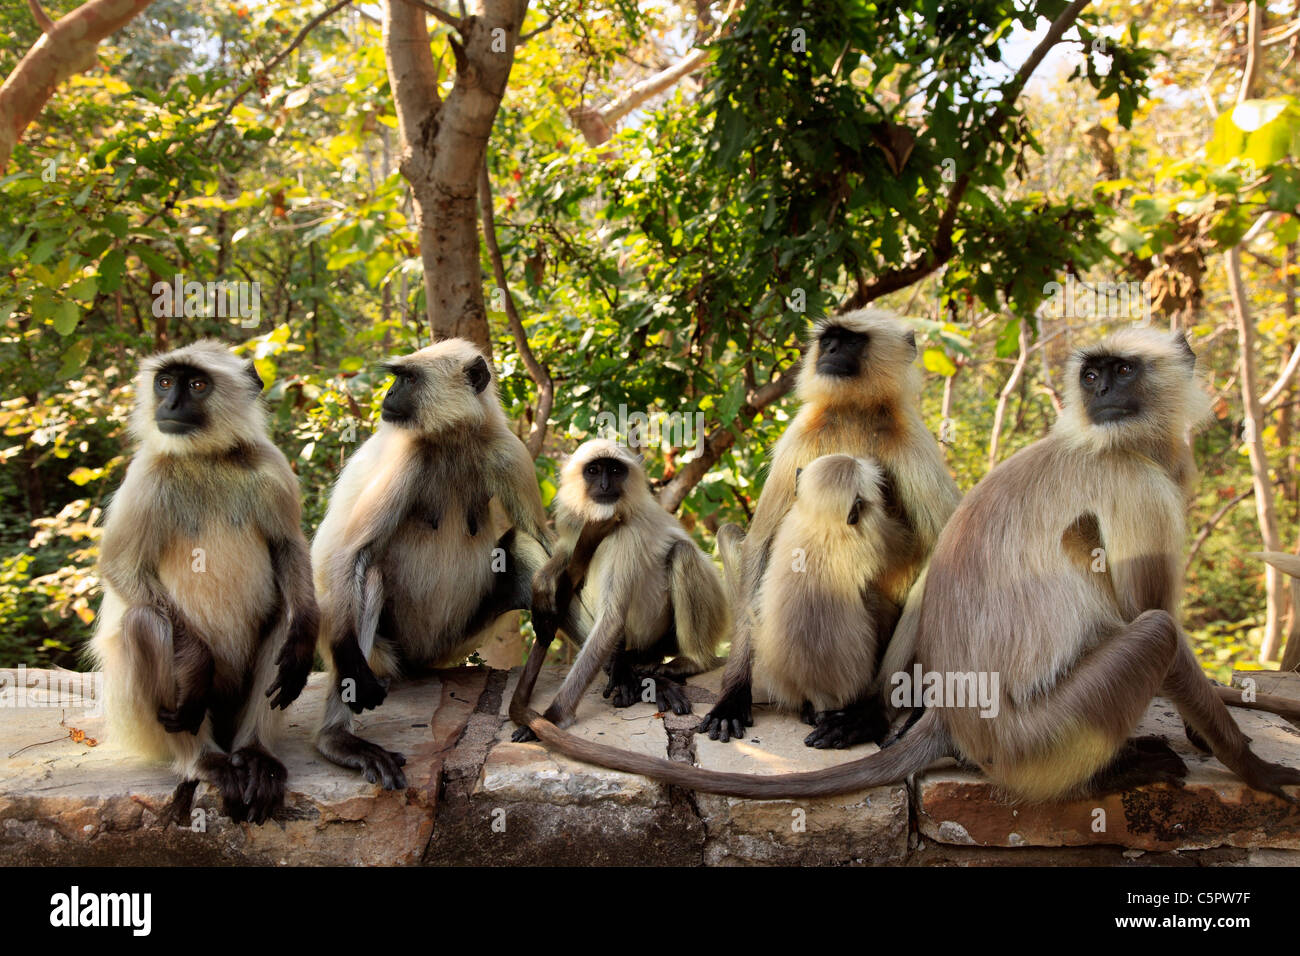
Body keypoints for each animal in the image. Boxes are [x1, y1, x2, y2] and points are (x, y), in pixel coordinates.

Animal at [89, 343, 317, 822]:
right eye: (164, 382)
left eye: (195, 384)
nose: (170, 405)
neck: (205, 458)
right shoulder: (146, 476)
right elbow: (120, 567)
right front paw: (196, 663)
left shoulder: (269, 463)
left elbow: (288, 547)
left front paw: (305, 634)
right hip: (144, 722)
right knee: (145, 622)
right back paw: (206, 760)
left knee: (283, 620)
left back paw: (255, 756)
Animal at [313, 340, 548, 790]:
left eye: (407, 379)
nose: (388, 394)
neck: (454, 439)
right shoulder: (409, 454)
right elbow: (352, 554)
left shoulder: (508, 452)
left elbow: (543, 540)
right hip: (384, 654)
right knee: (369, 575)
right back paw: (335, 740)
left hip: (456, 639)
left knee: (526, 552)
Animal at [509, 437, 733, 738]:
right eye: (594, 471)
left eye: (615, 471)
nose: (605, 486)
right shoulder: (573, 519)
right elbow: (565, 553)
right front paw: (542, 583)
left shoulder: (626, 532)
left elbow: (612, 618)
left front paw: (551, 717)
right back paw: (628, 661)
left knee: (682, 552)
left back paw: (688, 661)